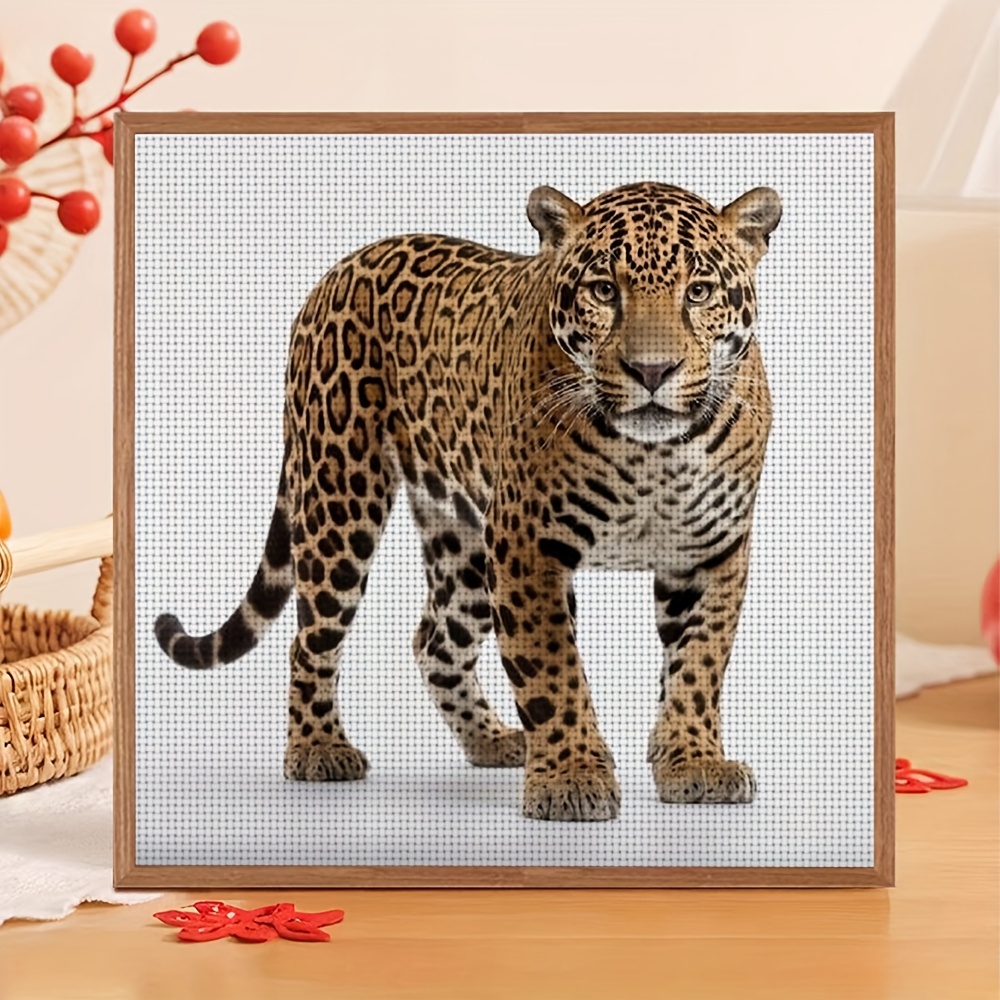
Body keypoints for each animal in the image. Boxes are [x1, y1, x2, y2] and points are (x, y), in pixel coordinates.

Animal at [155, 179, 782, 822]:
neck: (652, 456)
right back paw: (318, 749)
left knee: (434, 642)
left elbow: (697, 665)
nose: (652, 371)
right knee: (310, 641)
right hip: (340, 496)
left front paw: (693, 762)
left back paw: (493, 740)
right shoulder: (529, 545)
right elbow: (552, 667)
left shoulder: (710, 551)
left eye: (698, 291)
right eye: (604, 290)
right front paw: (571, 777)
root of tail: (342, 266)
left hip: (467, 541)